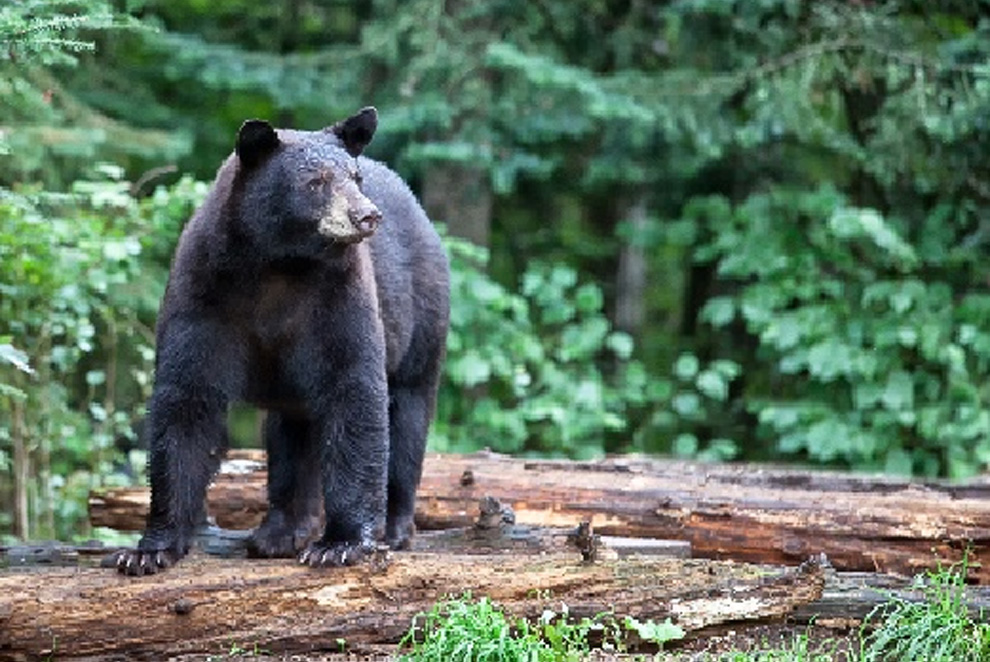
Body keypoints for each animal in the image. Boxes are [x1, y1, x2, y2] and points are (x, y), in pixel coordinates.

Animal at [111, 107, 450, 576]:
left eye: (355, 176)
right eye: (316, 181)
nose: (366, 215)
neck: (279, 265)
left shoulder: (338, 297)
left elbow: (354, 391)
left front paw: (341, 544)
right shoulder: (203, 293)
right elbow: (186, 400)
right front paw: (149, 549)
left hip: (422, 317)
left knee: (408, 414)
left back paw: (394, 527)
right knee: (293, 434)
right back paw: (281, 531)